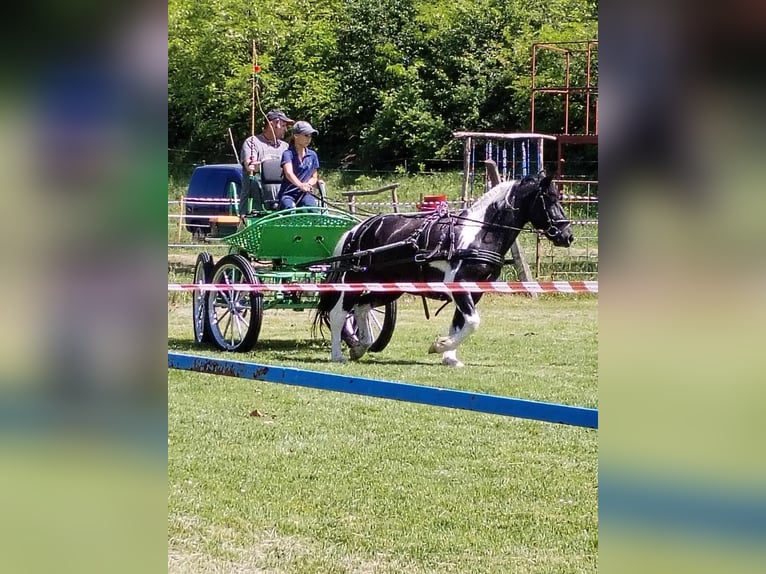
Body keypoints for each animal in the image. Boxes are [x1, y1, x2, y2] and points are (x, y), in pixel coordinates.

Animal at [314, 172, 576, 368]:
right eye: (549, 199)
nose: (568, 236)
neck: (480, 233)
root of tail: (359, 228)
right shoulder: (459, 286)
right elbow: (472, 322)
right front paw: (440, 346)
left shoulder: (475, 291)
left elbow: (460, 322)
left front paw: (449, 357)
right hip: (356, 278)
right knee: (339, 313)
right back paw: (338, 354)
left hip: (389, 286)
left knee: (362, 307)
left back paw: (360, 346)